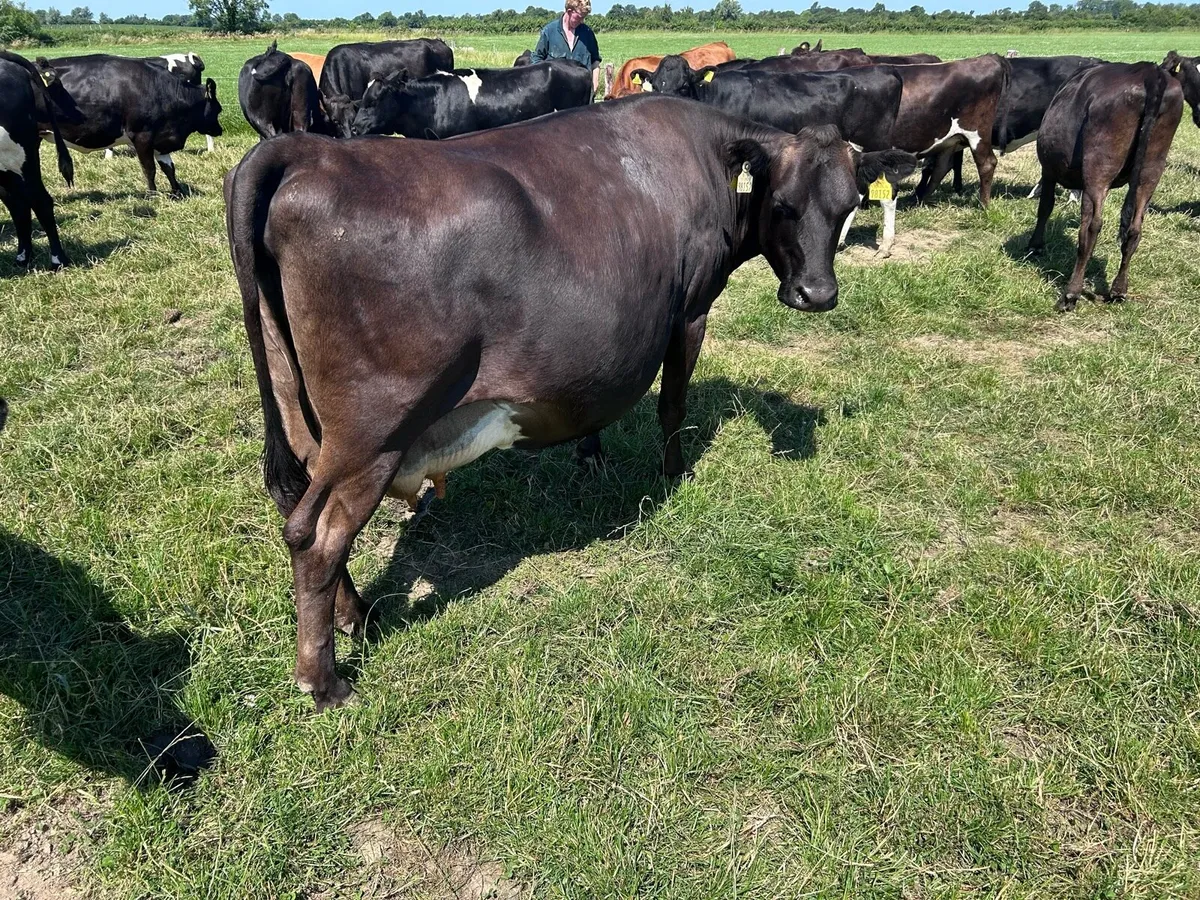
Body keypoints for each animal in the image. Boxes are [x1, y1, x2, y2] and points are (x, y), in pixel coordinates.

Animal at [42, 55, 221, 195]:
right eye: (219, 109)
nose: (220, 130)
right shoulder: (142, 135)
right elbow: (149, 169)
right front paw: (152, 195)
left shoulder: (160, 139)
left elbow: (169, 168)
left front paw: (178, 192)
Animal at [224, 96, 917, 709]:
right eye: (783, 203)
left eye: (850, 204)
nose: (816, 295)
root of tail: (306, 150)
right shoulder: (690, 311)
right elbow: (672, 404)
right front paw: (672, 473)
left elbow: (598, 398)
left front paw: (592, 454)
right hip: (373, 431)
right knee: (316, 535)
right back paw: (323, 680)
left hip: (302, 412)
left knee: (298, 505)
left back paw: (357, 617)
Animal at [630, 55, 911, 255]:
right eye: (653, 86)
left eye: (684, 85)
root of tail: (887, 71)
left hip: (876, 143)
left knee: (888, 191)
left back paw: (886, 245)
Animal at [1029, 62, 1190, 311]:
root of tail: (1148, 71)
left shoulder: (1048, 170)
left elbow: (1045, 206)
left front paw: (1035, 245)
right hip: (1152, 166)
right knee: (1135, 228)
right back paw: (1118, 290)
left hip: (1099, 165)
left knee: (1091, 226)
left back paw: (1070, 294)